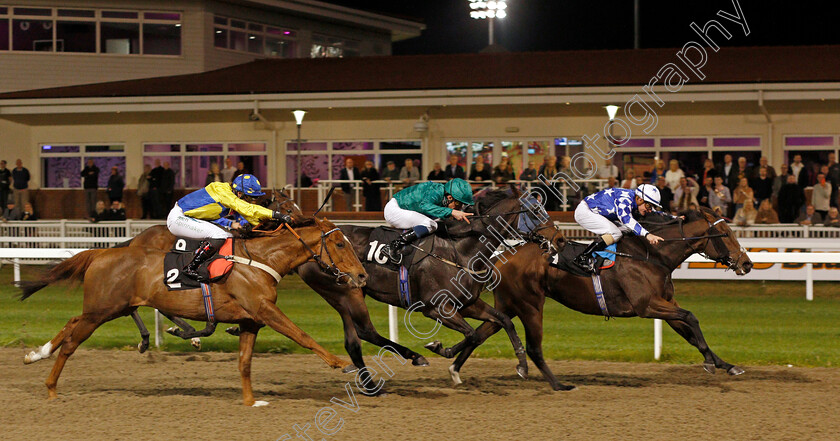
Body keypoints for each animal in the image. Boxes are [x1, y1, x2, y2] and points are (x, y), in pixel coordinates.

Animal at [17, 217, 368, 406]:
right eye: (340, 244)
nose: (362, 276)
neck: (259, 259)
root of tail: (100, 254)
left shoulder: (251, 320)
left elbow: (244, 364)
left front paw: (251, 401)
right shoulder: (264, 310)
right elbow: (301, 335)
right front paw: (341, 363)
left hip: (106, 308)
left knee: (71, 321)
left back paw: (36, 354)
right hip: (102, 310)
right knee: (72, 343)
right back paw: (51, 387)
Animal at [442, 208, 752, 390]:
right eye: (726, 234)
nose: (747, 263)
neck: (653, 256)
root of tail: (500, 257)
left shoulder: (666, 305)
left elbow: (690, 332)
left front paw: (727, 365)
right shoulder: (647, 306)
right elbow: (692, 317)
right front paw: (711, 363)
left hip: (509, 303)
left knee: (487, 329)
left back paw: (453, 365)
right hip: (530, 305)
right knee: (531, 346)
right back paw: (558, 385)